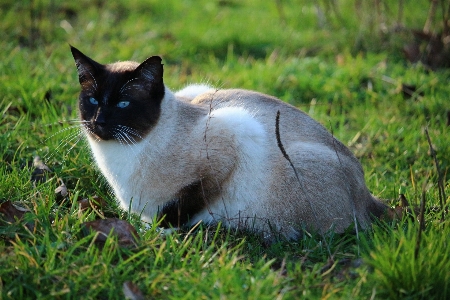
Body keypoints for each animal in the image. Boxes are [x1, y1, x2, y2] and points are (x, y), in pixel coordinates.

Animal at [70, 46, 386, 239]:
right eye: (93, 101)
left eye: (123, 104)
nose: (98, 122)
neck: (120, 156)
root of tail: (368, 198)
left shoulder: (232, 136)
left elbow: (179, 208)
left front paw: (158, 234)